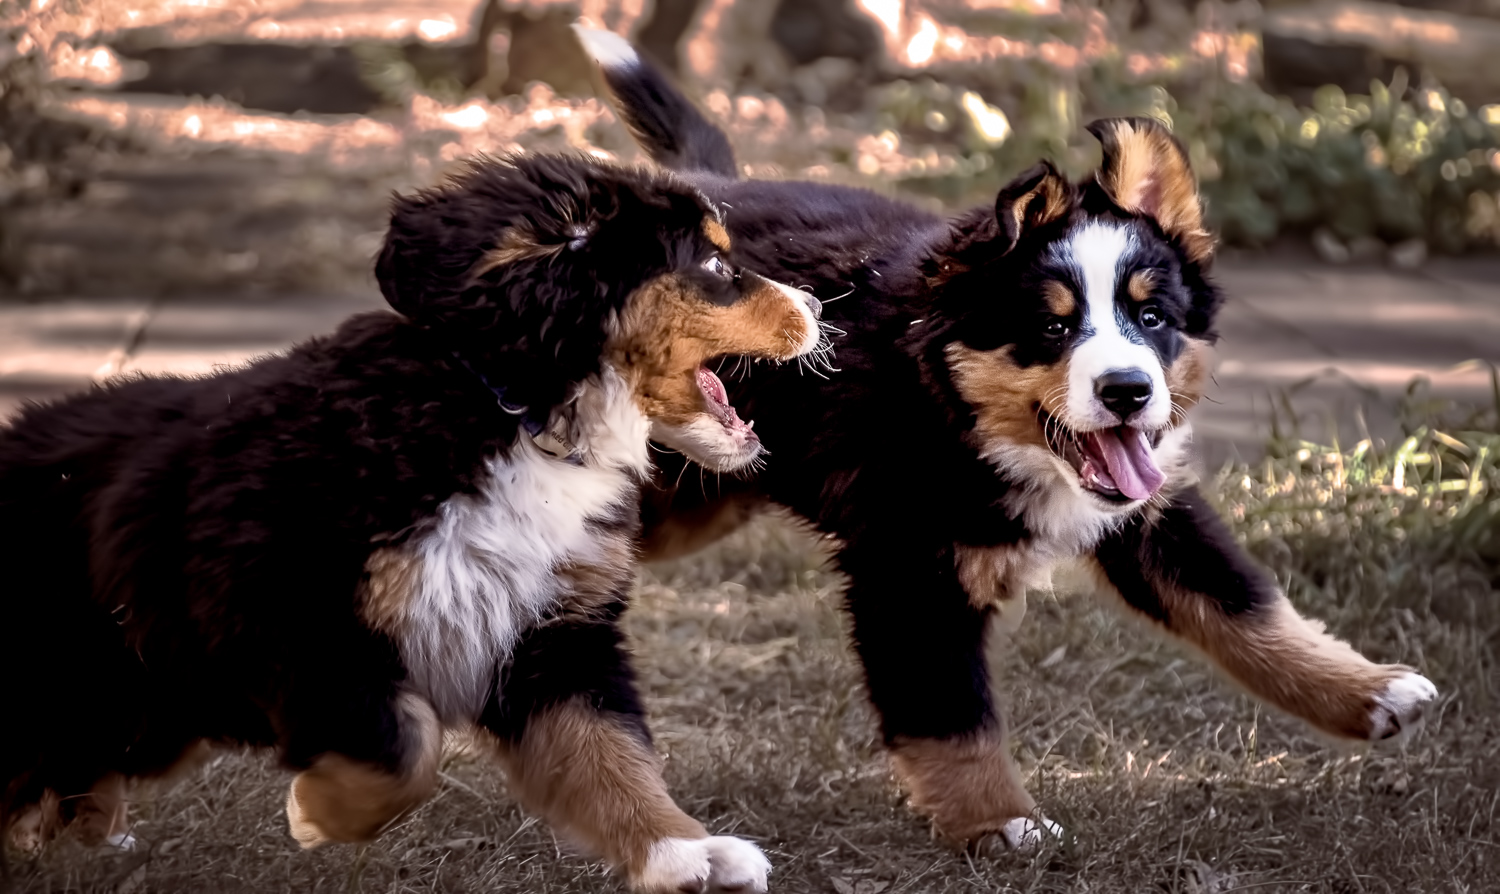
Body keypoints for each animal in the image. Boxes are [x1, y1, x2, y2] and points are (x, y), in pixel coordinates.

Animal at [0, 153, 822, 894]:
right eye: (714, 265)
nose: (820, 307)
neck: (511, 411)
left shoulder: (553, 637)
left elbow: (608, 754)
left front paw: (683, 852)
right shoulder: (295, 622)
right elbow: (406, 750)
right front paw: (319, 815)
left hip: (145, 703)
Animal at [576, 26, 1440, 852]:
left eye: (1151, 316)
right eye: (1052, 328)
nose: (1127, 392)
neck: (956, 410)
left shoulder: (1150, 510)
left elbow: (1245, 606)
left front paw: (1369, 691)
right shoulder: (907, 566)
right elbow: (951, 713)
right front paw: (1000, 823)